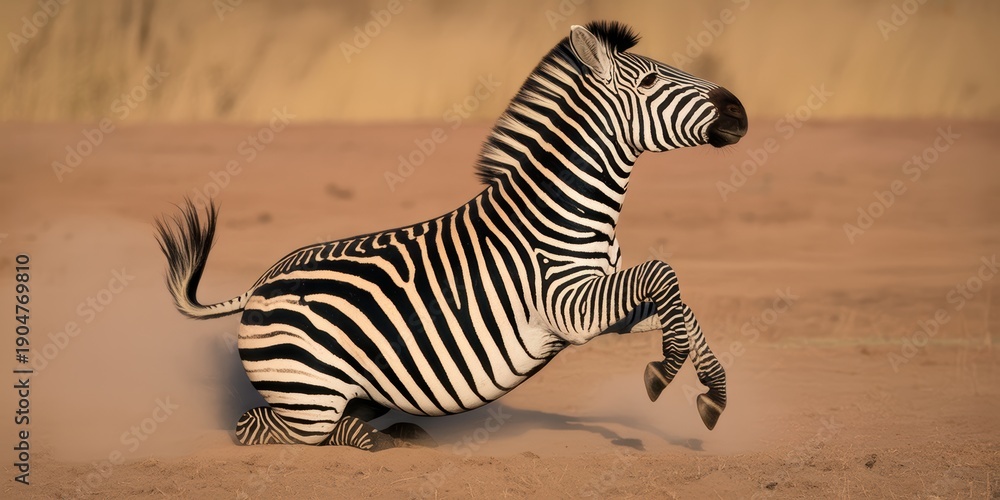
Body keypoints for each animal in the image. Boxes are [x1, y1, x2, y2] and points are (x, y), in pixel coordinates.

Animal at [156, 21, 747, 451]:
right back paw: (375, 441)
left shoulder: (606, 305)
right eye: (649, 83)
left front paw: (713, 393)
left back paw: (396, 433)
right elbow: (663, 273)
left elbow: (679, 302)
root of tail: (257, 286)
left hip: (360, 388)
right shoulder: (566, 305)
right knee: (263, 428)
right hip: (308, 397)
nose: (738, 110)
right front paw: (663, 373)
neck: (574, 208)